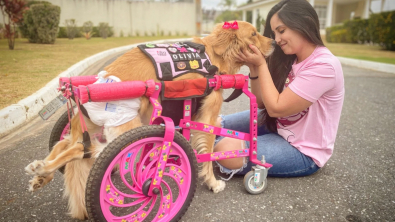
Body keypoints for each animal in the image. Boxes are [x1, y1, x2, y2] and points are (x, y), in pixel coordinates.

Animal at [24, 21, 276, 220]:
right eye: (254, 34)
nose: (274, 42)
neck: (213, 55)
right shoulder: (208, 118)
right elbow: (207, 153)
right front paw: (213, 183)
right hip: (127, 127)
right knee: (81, 149)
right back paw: (44, 168)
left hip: (90, 126)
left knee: (64, 144)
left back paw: (41, 173)